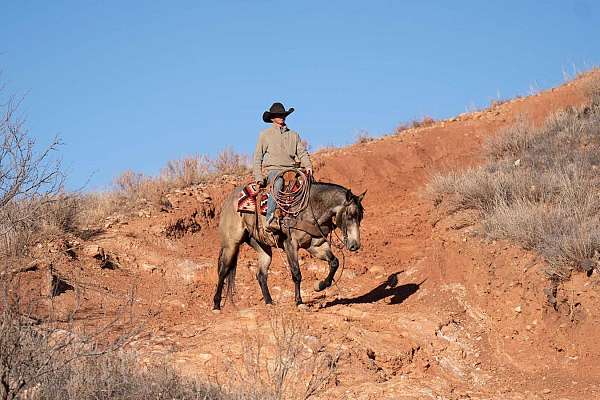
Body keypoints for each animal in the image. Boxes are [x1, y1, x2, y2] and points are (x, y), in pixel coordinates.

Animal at [213, 180, 368, 310]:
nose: (355, 245)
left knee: (261, 274)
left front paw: (319, 286)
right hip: (231, 245)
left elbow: (335, 262)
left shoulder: (316, 246)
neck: (309, 209)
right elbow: (296, 273)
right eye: (350, 215)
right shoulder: (290, 245)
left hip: (262, 247)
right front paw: (299, 302)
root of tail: (229, 200)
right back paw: (216, 305)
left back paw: (269, 302)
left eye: (360, 217)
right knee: (223, 271)